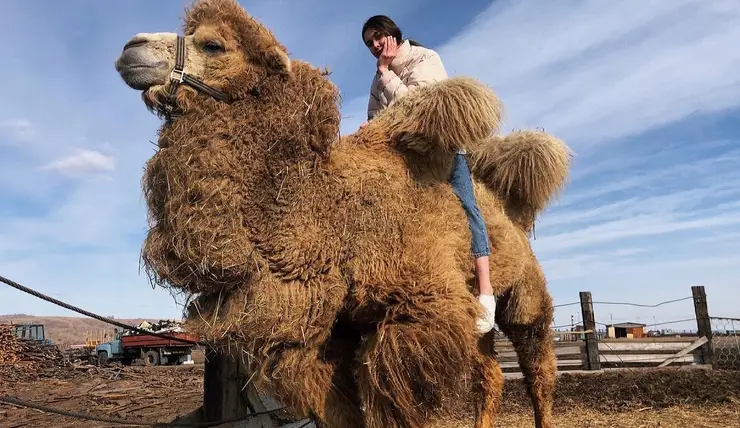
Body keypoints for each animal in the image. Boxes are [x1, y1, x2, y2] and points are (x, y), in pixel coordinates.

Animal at [112, 0, 572, 428]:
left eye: (213, 44)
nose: (130, 48)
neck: (334, 219)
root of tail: (513, 210)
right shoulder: (328, 339)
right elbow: (341, 409)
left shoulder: (420, 315)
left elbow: (394, 408)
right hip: (478, 322)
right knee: (490, 374)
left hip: (524, 294)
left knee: (538, 367)